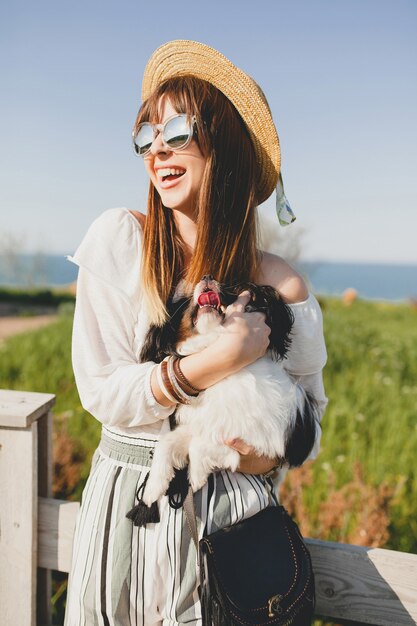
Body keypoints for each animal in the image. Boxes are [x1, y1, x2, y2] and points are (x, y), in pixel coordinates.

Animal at [140, 276, 318, 504]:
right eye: (185, 299)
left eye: (229, 291)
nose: (207, 277)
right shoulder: (203, 423)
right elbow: (167, 443)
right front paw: (153, 488)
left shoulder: (256, 438)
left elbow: (199, 445)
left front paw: (196, 475)